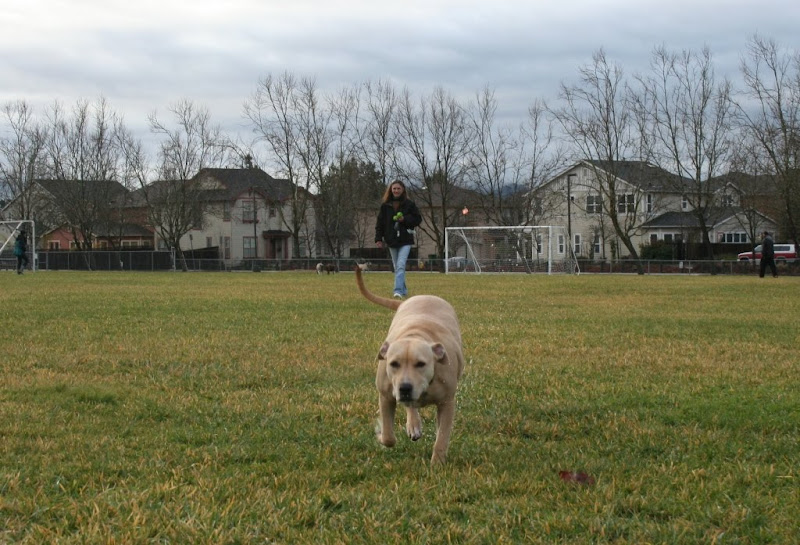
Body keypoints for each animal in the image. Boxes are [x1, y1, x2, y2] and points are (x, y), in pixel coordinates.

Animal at [354, 266, 466, 462]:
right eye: (394, 364)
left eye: (421, 364)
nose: (405, 387)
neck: (416, 334)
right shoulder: (385, 395)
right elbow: (389, 435)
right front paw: (381, 436)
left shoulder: (447, 402)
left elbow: (442, 436)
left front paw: (437, 462)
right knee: (410, 407)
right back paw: (413, 424)